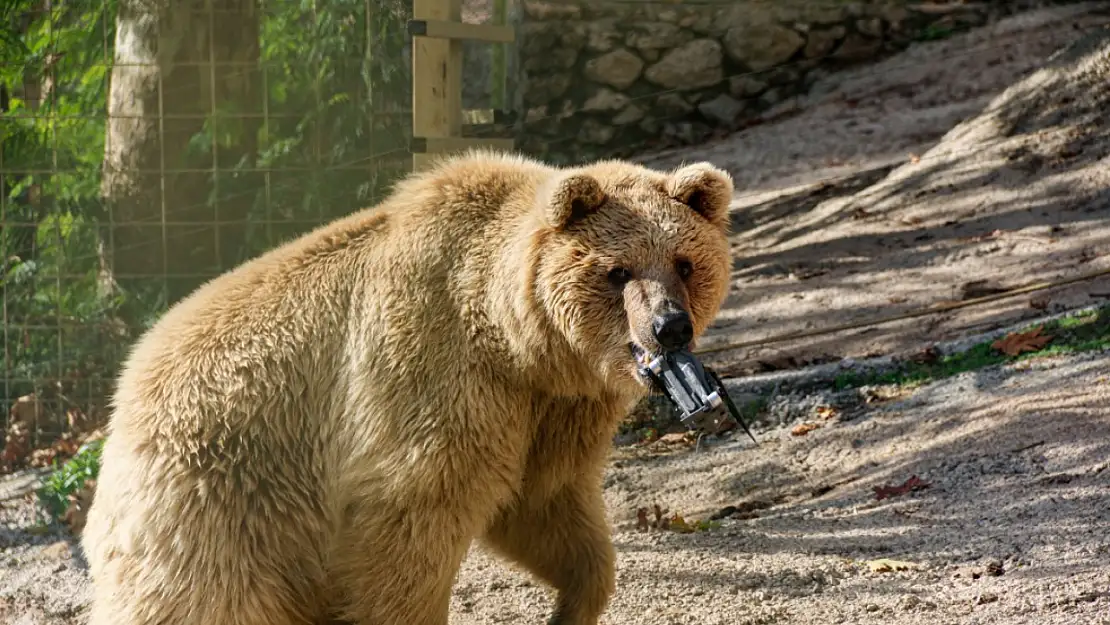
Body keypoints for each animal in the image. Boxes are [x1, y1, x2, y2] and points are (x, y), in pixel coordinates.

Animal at [84, 148, 737, 621]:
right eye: (617, 271)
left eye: (684, 262)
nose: (670, 327)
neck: (516, 340)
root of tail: (121, 400)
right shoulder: (432, 373)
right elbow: (409, 527)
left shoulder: (549, 409)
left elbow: (546, 506)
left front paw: (572, 604)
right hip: (219, 491)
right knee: (193, 599)